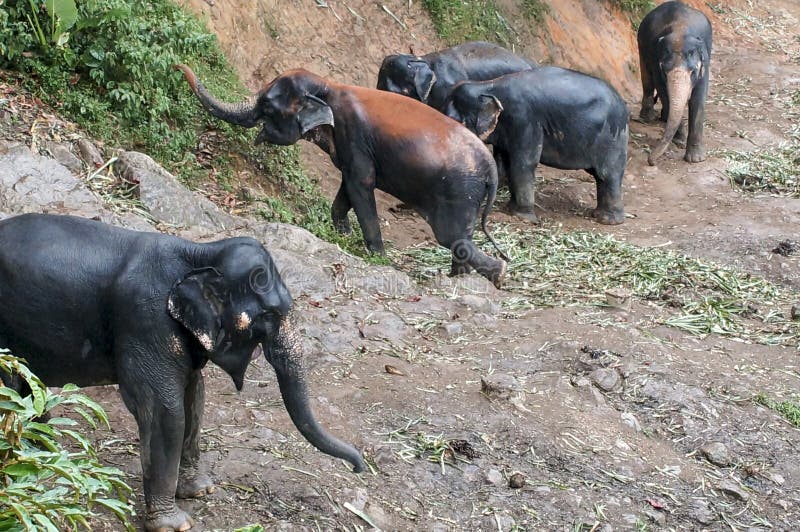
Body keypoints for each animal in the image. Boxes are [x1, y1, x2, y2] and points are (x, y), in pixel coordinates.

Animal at [0, 214, 366, 532]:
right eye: (267, 317)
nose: (359, 467)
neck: (200, 253)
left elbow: (195, 396)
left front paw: (199, 490)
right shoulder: (146, 320)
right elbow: (164, 410)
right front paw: (173, 524)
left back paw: (44, 448)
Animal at [440, 66, 628, 224]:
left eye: (456, 122)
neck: (487, 86)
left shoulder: (524, 119)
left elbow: (523, 163)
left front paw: (522, 216)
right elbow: (505, 162)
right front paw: (509, 208)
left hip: (612, 137)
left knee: (607, 174)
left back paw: (608, 220)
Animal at [636, 0, 712, 165]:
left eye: (693, 71)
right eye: (665, 71)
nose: (650, 161)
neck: (680, 30)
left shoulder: (706, 59)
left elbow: (699, 97)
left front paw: (696, 159)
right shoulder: (655, 56)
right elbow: (663, 90)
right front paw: (680, 141)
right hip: (641, 44)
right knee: (646, 77)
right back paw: (648, 117)